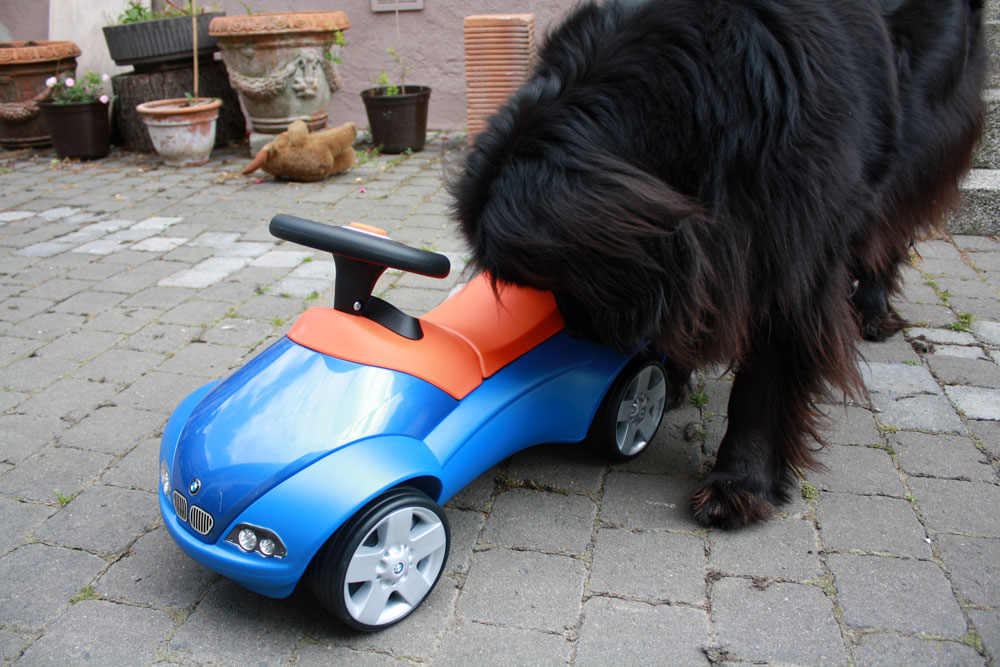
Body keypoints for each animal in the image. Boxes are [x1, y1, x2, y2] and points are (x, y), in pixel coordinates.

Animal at [452, 1, 984, 532]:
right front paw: (671, 374)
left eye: (561, 279)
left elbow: (763, 377)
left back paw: (872, 310)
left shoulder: (789, 243)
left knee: (890, 226)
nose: (585, 336)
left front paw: (741, 481)